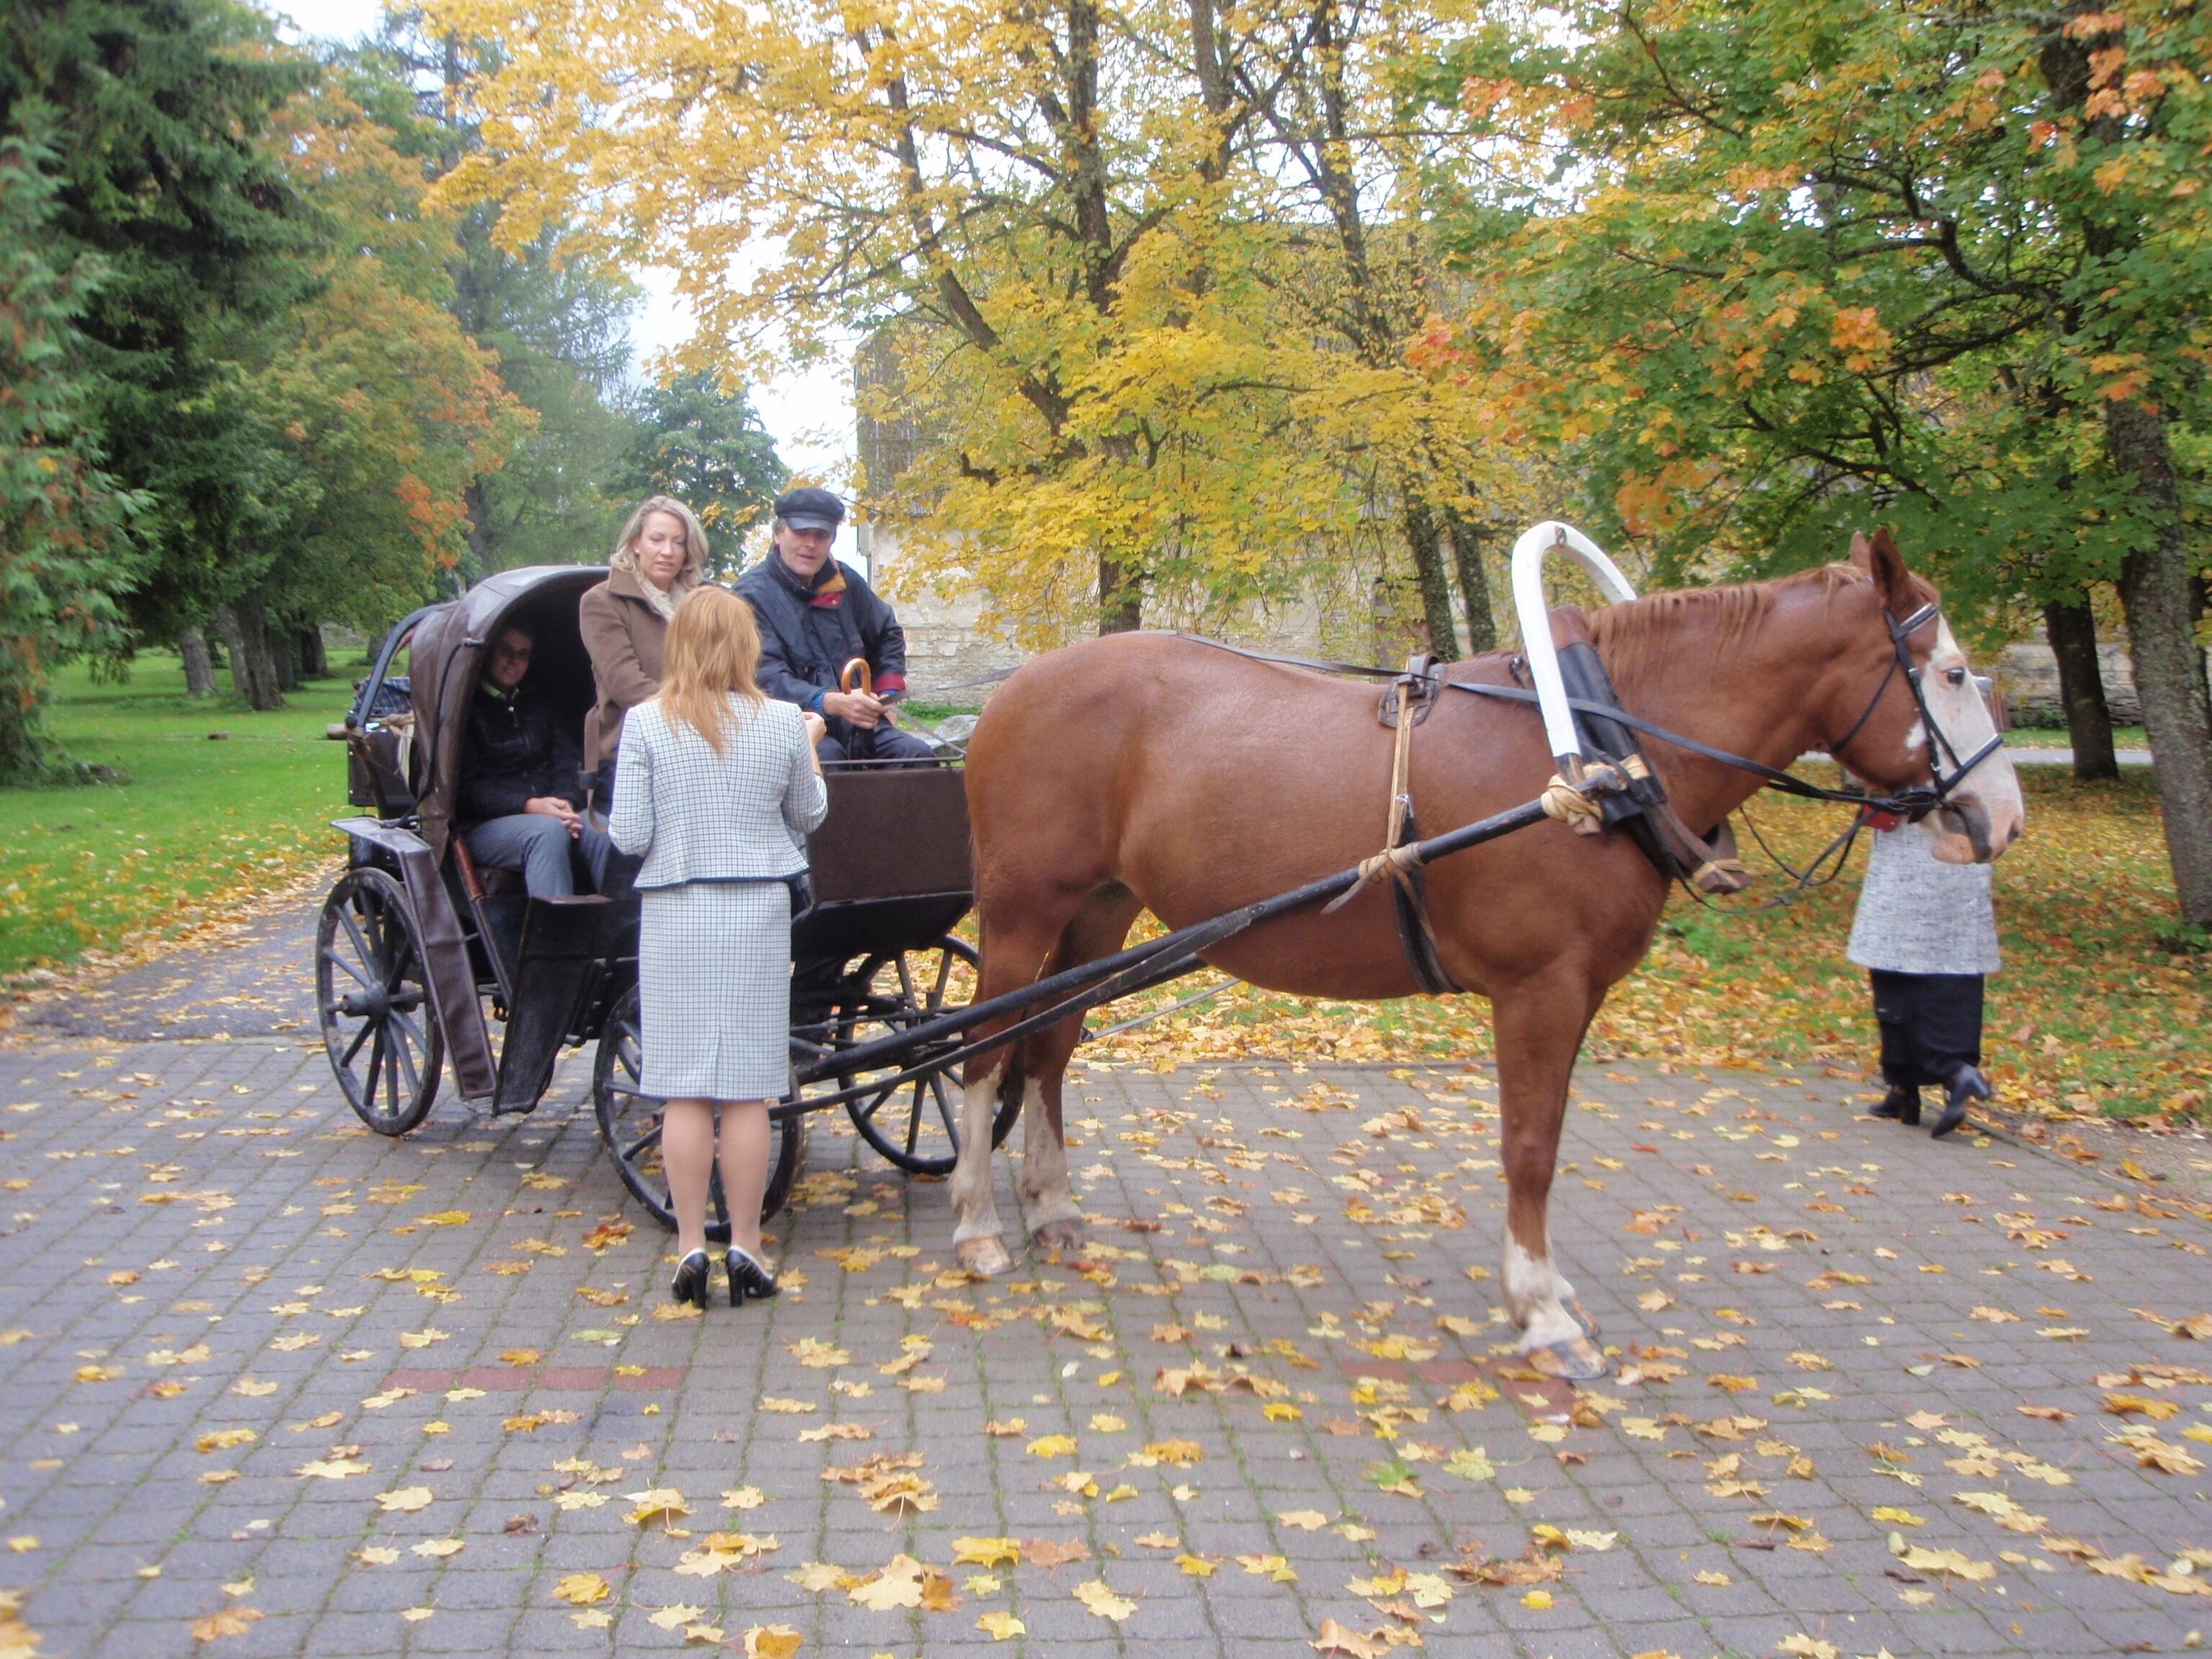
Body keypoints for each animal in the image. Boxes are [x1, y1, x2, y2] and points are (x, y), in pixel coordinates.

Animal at [946, 529, 2024, 1378]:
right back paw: (977, 1225)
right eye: (1951, 673)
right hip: (1022, 914)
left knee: (1050, 1051)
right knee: (985, 1051)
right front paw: (1541, 1312)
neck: (1594, 747)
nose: (1998, 819)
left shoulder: (1580, 994)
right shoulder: (1539, 991)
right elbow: (1530, 1148)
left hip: (1099, 912)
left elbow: (1545, 1138)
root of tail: (1010, 692)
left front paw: (1544, 1295)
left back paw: (1050, 1207)